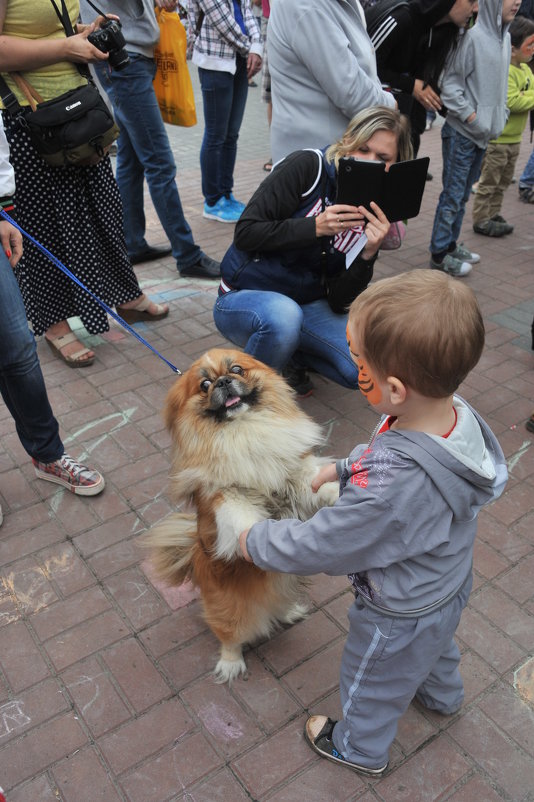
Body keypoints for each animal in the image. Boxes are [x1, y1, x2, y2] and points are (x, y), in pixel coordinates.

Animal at [147, 348, 340, 680]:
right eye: (204, 385)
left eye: (236, 369)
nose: (223, 381)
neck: (243, 429)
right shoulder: (224, 495)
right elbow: (241, 516)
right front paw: (257, 536)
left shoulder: (296, 477)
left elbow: (316, 483)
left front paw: (341, 489)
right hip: (229, 608)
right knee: (229, 635)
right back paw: (230, 665)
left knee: (277, 605)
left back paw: (290, 611)